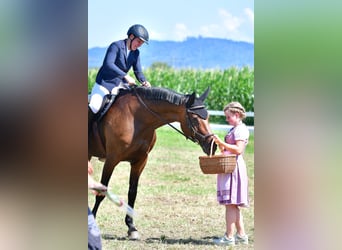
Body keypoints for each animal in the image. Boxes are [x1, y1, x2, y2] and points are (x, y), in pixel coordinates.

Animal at [88, 86, 216, 240]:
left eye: (208, 117)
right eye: (195, 119)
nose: (213, 145)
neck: (136, 119)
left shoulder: (140, 161)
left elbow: (132, 193)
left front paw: (131, 227)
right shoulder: (112, 159)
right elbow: (102, 191)